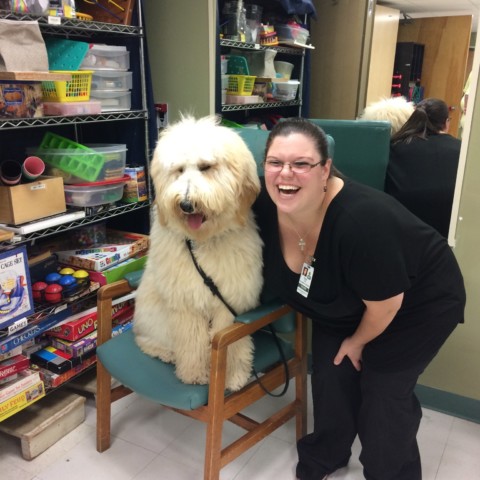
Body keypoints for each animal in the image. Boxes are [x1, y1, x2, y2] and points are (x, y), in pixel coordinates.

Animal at [133, 115, 264, 390]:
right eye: (179, 170)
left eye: (206, 167)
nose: (185, 204)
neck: (202, 242)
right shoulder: (185, 304)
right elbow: (191, 341)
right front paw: (194, 375)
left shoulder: (231, 303)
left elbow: (232, 344)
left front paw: (234, 376)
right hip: (152, 320)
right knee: (146, 340)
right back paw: (166, 353)